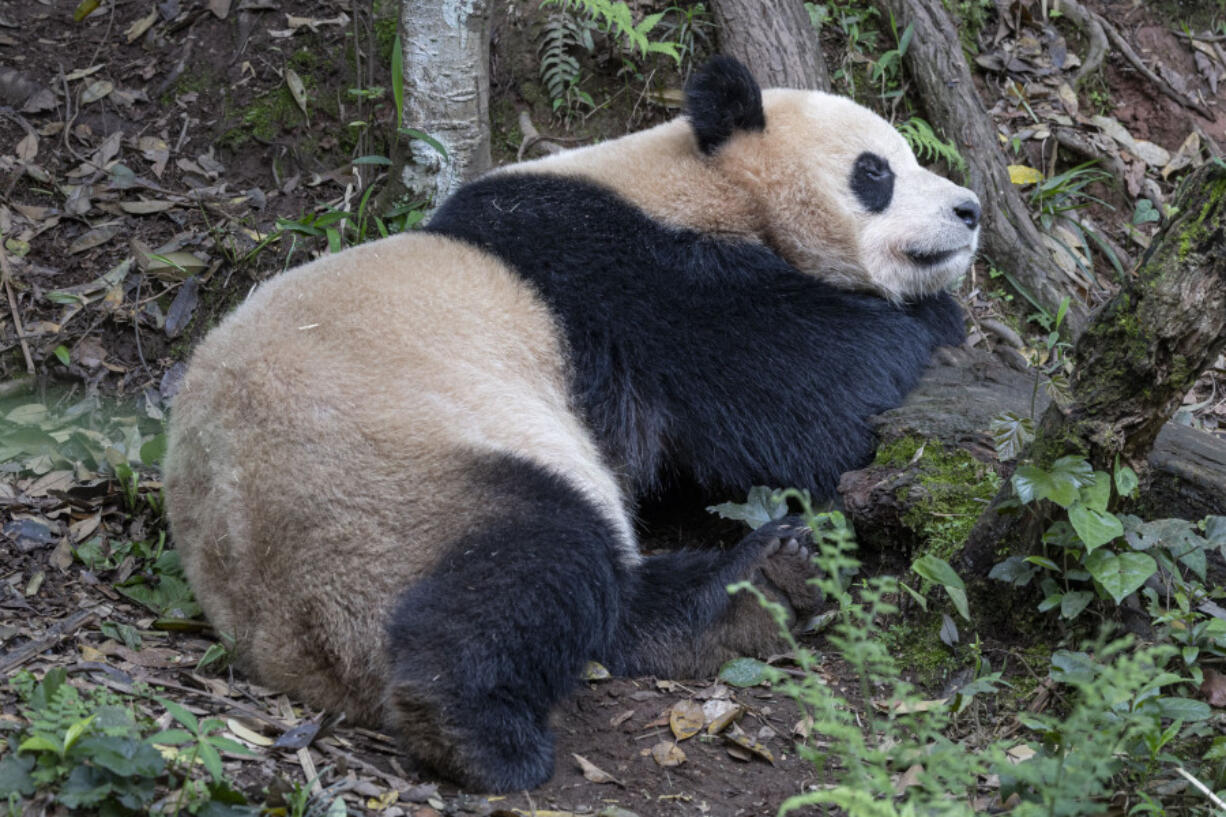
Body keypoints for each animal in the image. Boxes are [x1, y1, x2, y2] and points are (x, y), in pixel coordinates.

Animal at [165, 60, 975, 790]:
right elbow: (803, 383)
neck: (694, 182)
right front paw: (935, 324)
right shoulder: (627, 275)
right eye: (875, 172)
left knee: (613, 600)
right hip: (384, 487)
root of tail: (287, 645)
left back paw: (767, 584)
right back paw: (473, 730)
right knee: (538, 559)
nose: (969, 210)